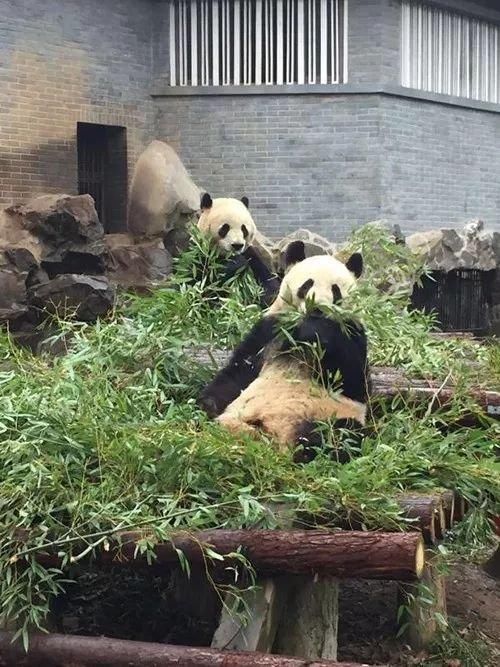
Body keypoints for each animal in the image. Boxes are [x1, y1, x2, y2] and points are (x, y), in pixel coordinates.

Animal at [197, 241, 370, 464]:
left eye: (336, 290)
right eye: (307, 285)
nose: (318, 308)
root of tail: (276, 438)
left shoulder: (352, 333)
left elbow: (351, 379)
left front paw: (317, 331)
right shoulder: (272, 328)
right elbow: (240, 368)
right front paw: (207, 404)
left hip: (330, 414)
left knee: (342, 433)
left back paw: (307, 448)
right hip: (241, 416)